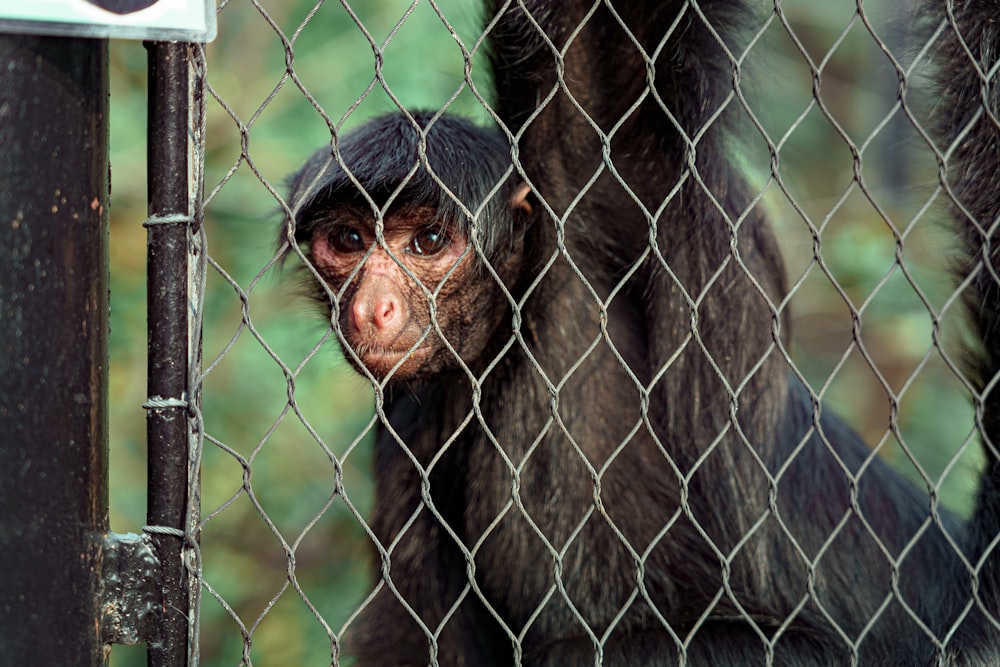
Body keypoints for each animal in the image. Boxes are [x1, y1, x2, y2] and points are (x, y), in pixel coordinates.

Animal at [278, 0, 1000, 664]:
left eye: (428, 241)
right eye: (348, 240)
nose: (372, 307)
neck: (510, 339)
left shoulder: (586, 172)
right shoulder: (409, 422)